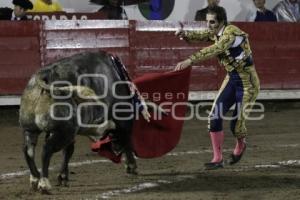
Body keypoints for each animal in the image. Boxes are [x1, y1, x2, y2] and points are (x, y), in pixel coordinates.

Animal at [18, 51, 148, 194]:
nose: (115, 150)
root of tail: (44, 75)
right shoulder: (122, 120)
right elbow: (127, 140)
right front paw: (131, 166)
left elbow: (68, 151)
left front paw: (63, 177)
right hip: (64, 132)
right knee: (46, 149)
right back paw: (44, 183)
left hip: (31, 129)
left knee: (28, 150)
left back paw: (35, 178)